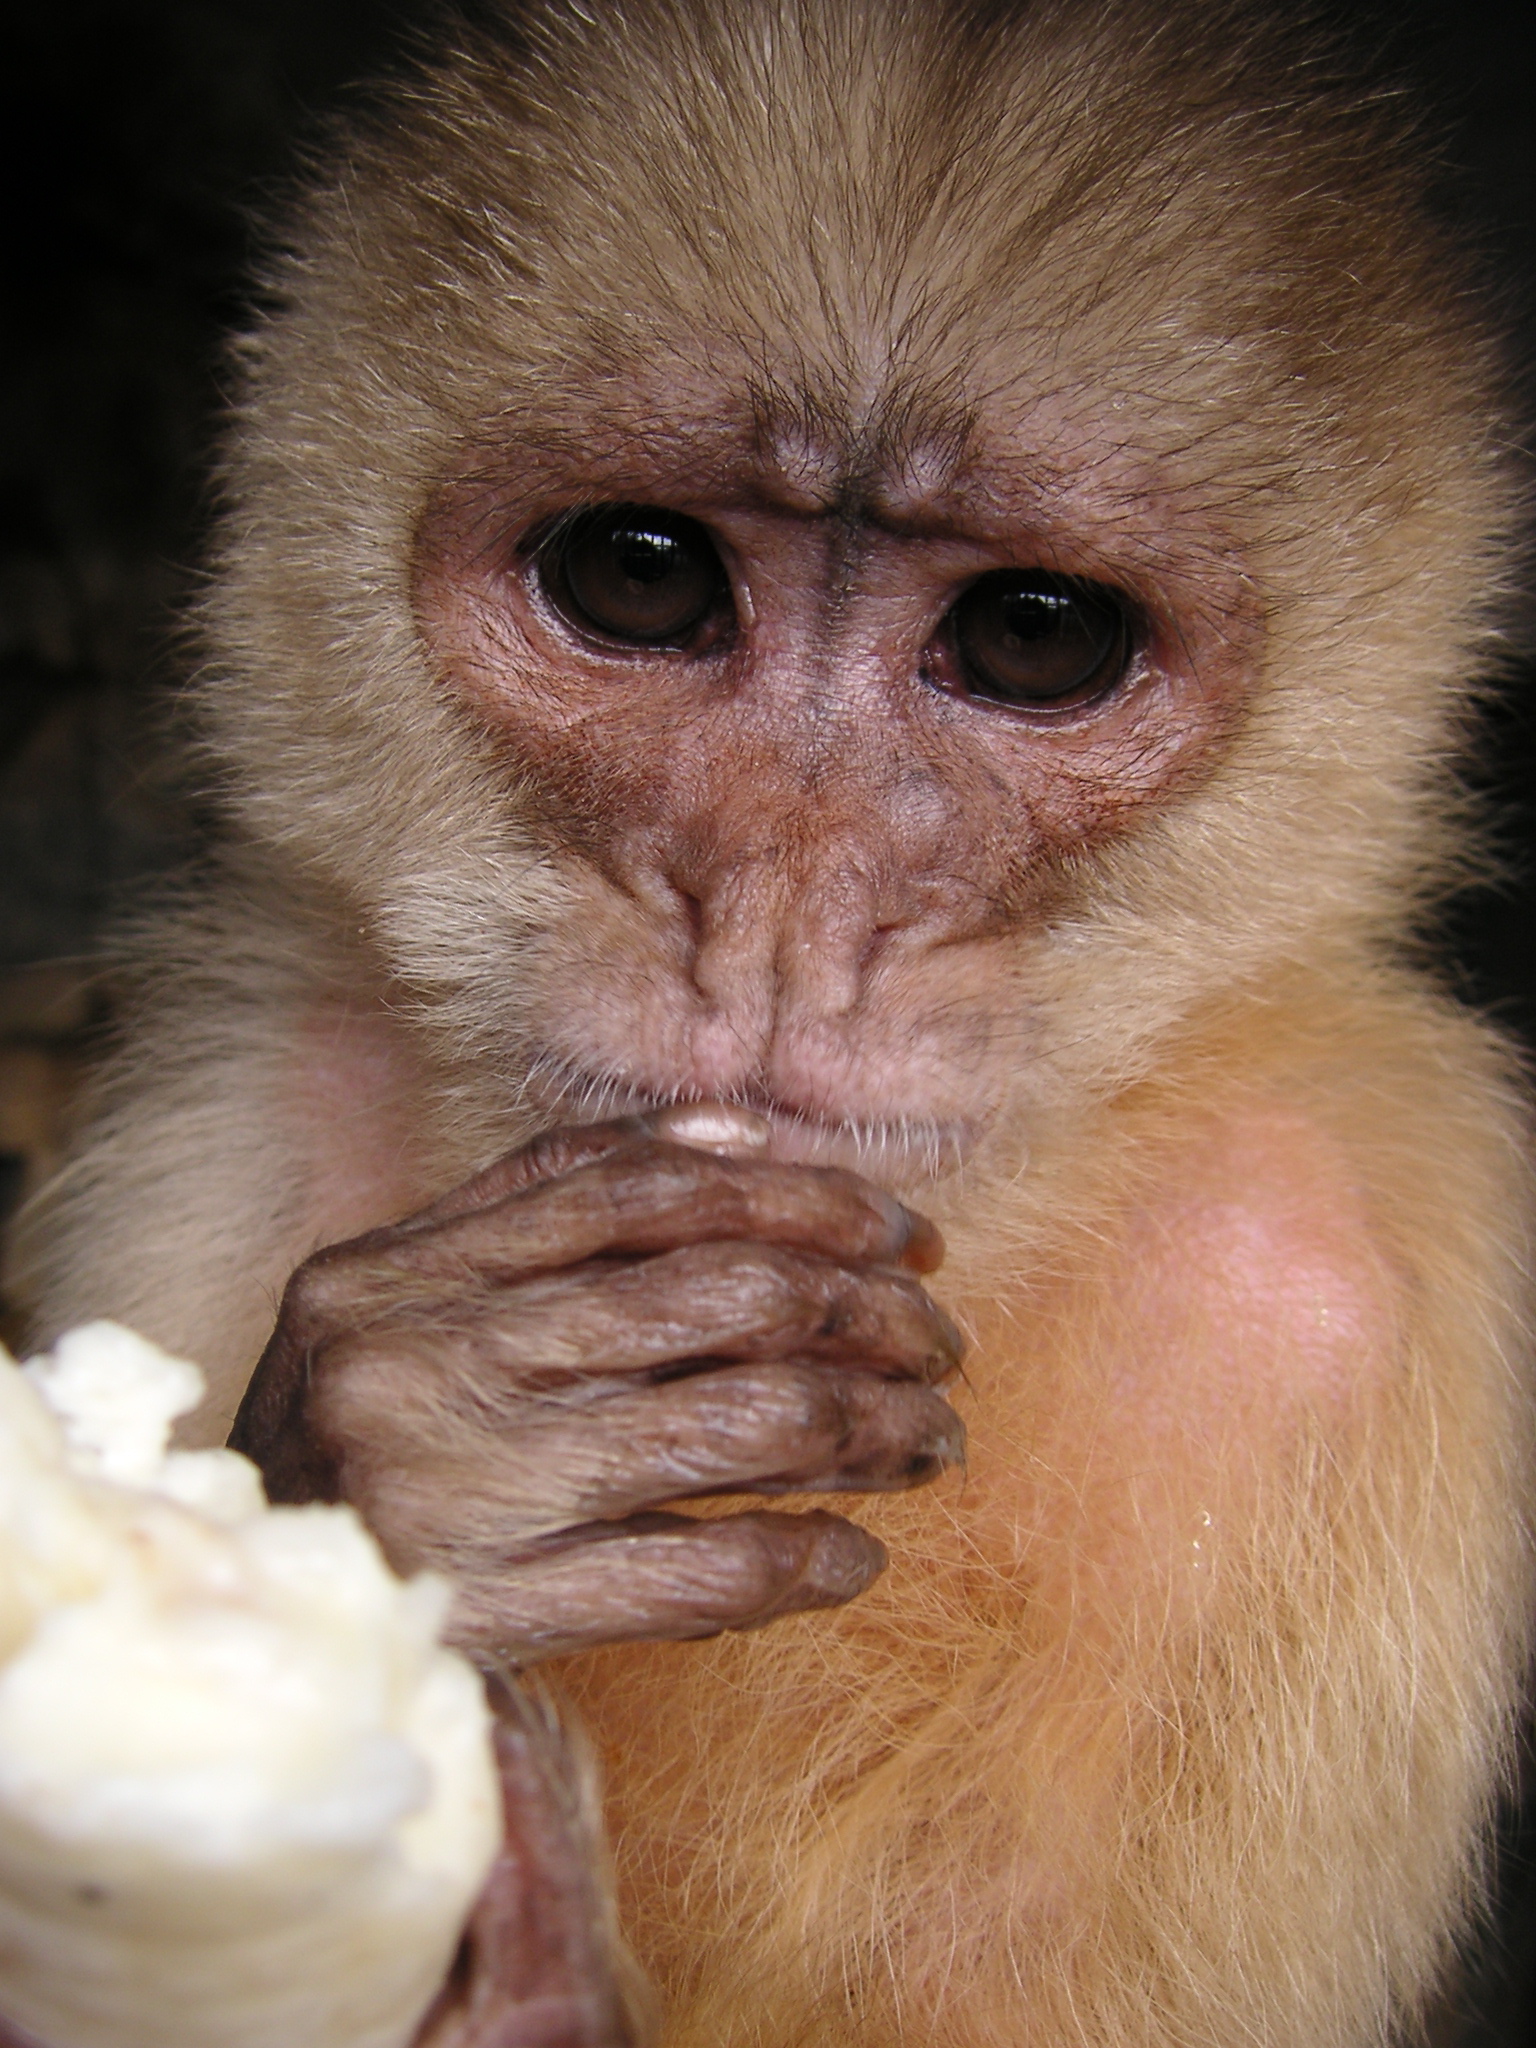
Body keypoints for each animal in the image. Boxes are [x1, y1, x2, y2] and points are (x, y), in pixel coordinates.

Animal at [6, 0, 1531, 2039]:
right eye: (641, 577)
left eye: (1034, 635)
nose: (784, 914)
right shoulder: (224, 1105)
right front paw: (420, 1465)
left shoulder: (1385, 1272)